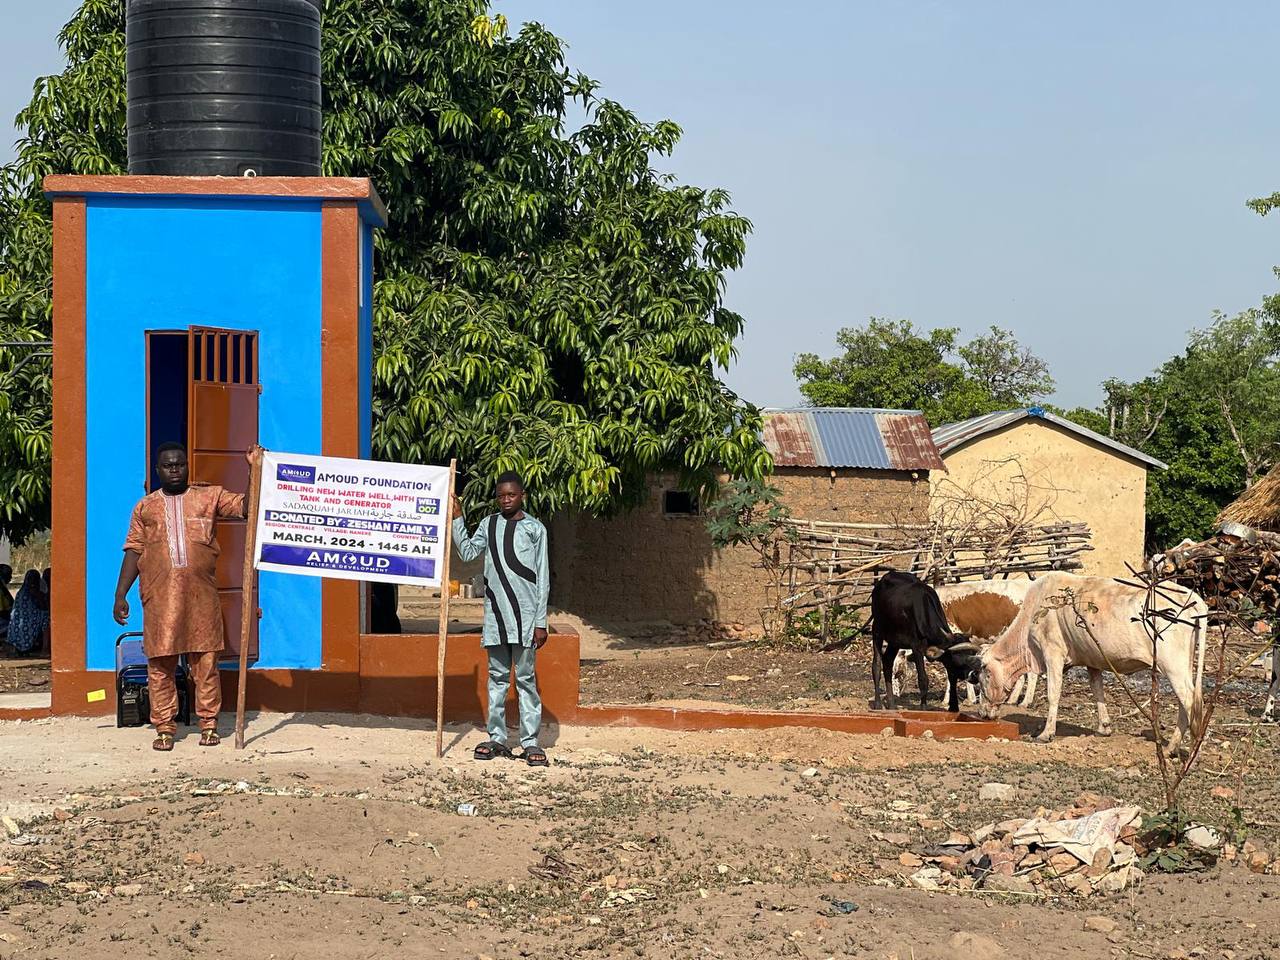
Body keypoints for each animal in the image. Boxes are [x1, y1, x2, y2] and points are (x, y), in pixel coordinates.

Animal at [972, 576, 1203, 757]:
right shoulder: (1092, 660)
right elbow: (1097, 690)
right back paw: (1171, 748)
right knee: (1185, 703)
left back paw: (1191, 750)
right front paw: (1104, 728)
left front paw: (1046, 734)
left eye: (982, 679)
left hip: (1173, 665)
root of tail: (1192, 597)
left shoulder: (1053, 653)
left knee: (1190, 701)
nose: (982, 713)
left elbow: (1053, 694)